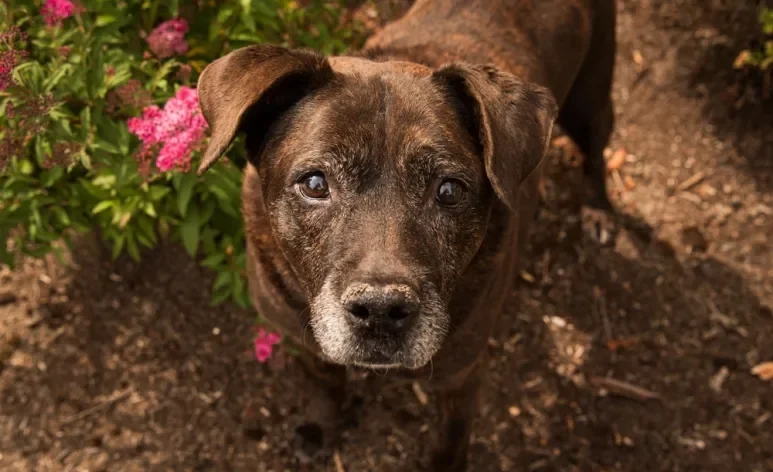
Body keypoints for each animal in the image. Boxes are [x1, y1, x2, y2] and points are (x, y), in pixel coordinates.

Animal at [198, 1, 616, 470]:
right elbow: (324, 382)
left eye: (449, 190)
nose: (380, 311)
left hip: (589, 95)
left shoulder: (460, 376)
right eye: (315, 183)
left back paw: (599, 210)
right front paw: (321, 426)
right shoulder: (299, 335)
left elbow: (448, 441)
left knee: (598, 140)